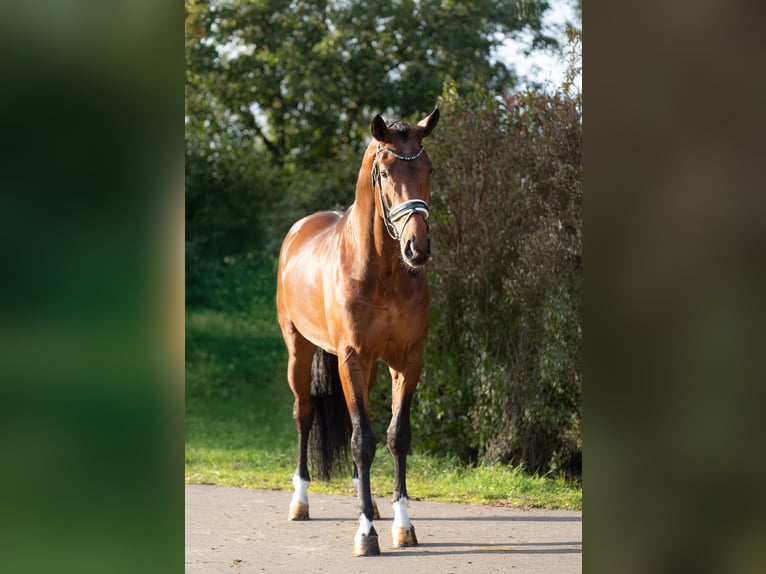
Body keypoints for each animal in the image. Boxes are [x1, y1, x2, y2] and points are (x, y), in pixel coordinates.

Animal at [276, 108, 439, 556]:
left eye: (428, 169)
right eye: (385, 171)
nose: (417, 248)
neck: (382, 272)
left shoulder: (408, 360)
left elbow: (396, 436)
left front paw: (403, 525)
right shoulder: (351, 357)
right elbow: (363, 440)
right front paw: (366, 532)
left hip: (366, 368)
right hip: (298, 351)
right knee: (304, 413)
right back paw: (300, 501)